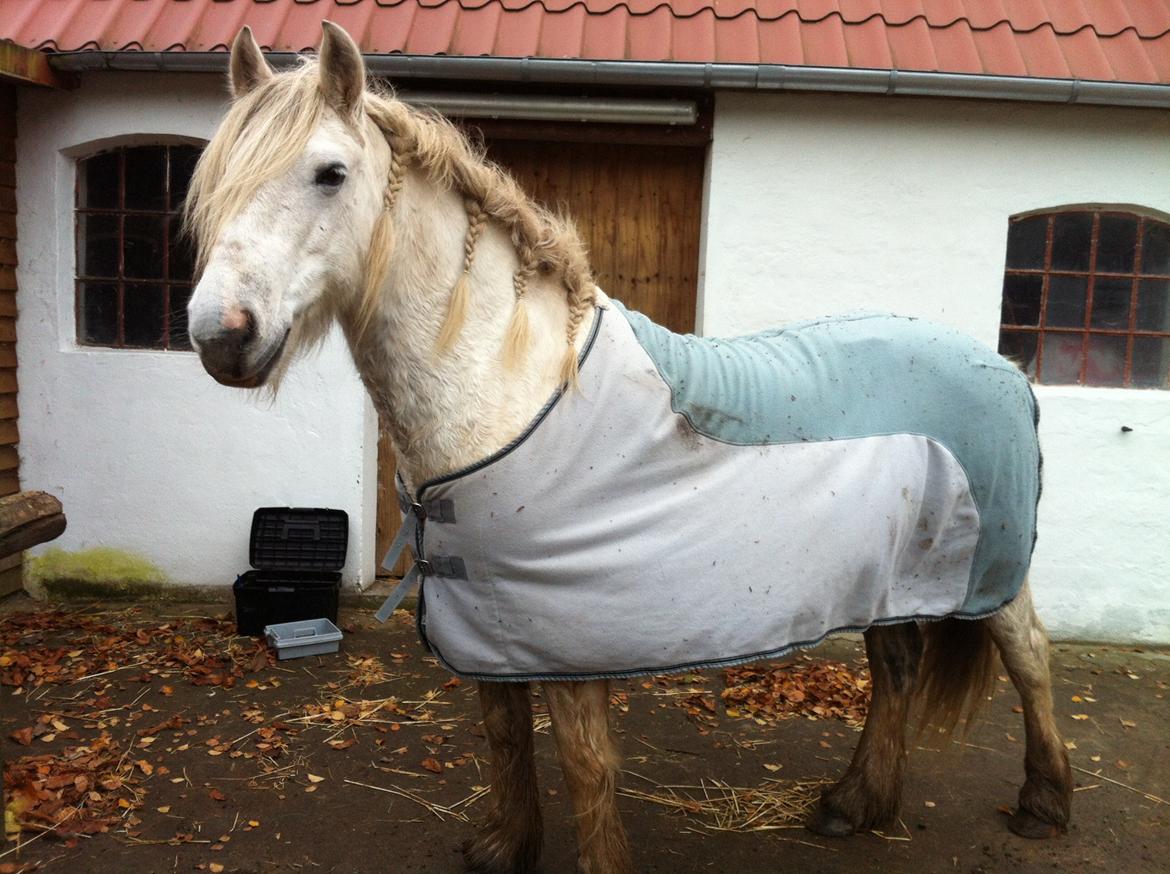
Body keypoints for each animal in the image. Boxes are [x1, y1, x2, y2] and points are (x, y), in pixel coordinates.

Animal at [187, 22, 1071, 874]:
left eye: (329, 174)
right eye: (216, 180)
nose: (219, 335)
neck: (509, 391)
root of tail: (1007, 369)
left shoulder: (568, 635)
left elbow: (586, 765)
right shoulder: (493, 624)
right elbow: (504, 733)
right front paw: (505, 846)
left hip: (990, 571)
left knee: (1028, 656)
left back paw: (1043, 804)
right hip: (893, 574)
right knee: (897, 667)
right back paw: (854, 805)